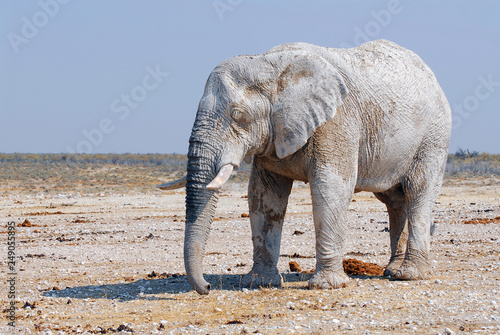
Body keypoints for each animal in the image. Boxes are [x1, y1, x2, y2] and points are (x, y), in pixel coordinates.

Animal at [159, 40, 454, 296]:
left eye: (238, 115)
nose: (208, 287)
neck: (270, 64)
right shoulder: (274, 134)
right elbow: (264, 196)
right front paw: (260, 283)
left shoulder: (337, 121)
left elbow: (331, 188)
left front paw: (326, 286)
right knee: (394, 201)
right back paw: (391, 271)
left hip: (434, 136)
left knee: (418, 192)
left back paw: (409, 275)